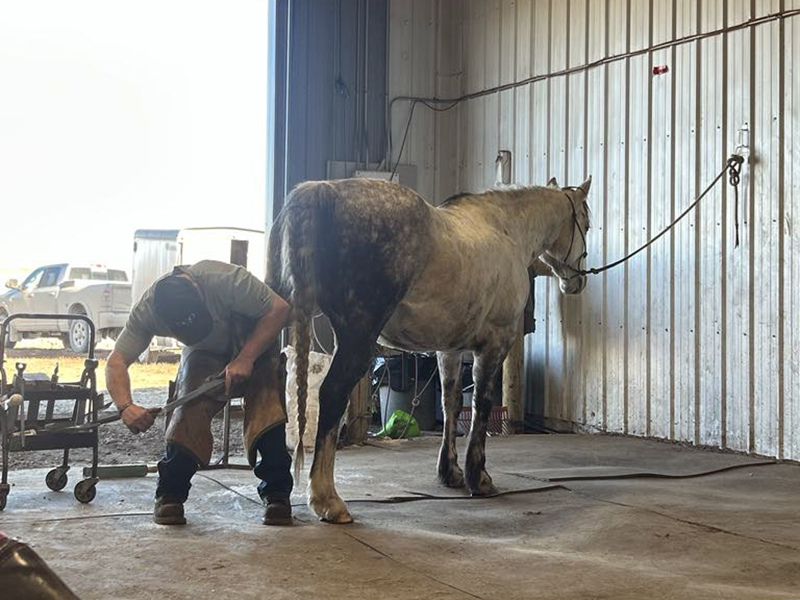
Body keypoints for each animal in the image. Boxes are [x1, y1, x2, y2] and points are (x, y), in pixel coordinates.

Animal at [266, 176, 592, 523]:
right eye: (586, 223)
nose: (576, 282)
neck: (505, 228)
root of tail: (320, 189)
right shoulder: (494, 345)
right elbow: (481, 405)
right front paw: (480, 478)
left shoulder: (449, 350)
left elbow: (451, 404)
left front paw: (451, 473)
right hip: (357, 339)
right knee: (332, 395)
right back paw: (328, 500)